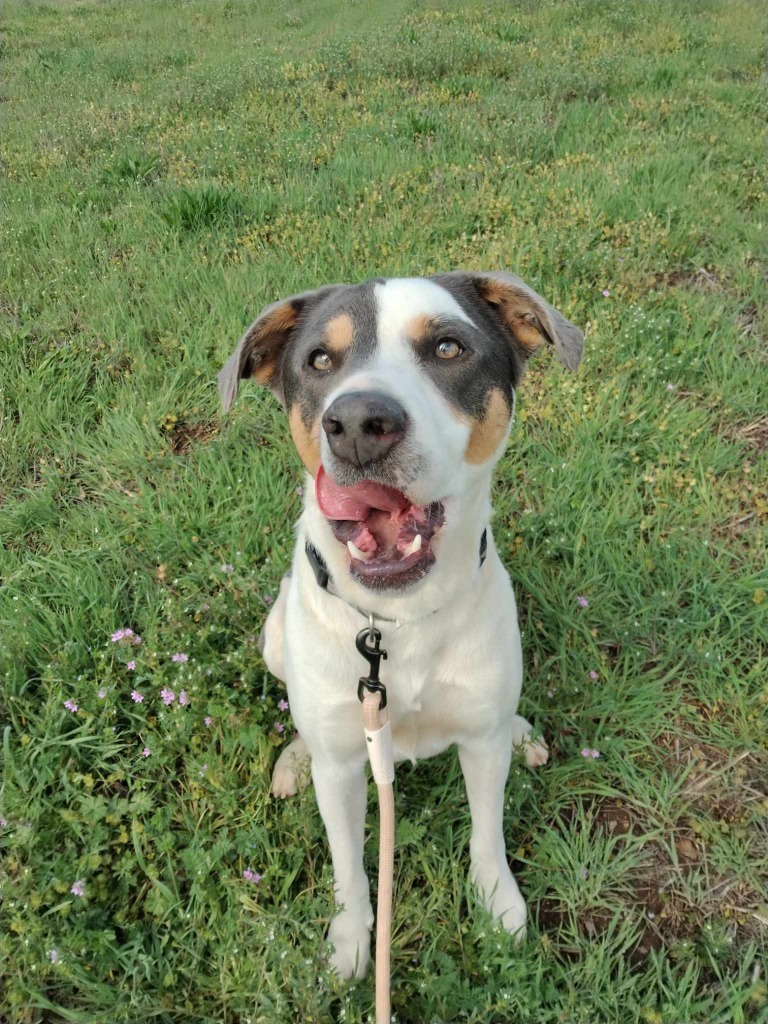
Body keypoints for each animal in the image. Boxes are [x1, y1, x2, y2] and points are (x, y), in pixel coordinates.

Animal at [219, 270, 585, 974]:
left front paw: (499, 906)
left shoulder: (479, 744)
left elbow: (487, 832)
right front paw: (350, 943)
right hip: (273, 637)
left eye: (447, 348)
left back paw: (522, 731)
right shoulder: (344, 768)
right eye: (320, 361)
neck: (398, 620)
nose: (359, 423)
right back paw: (294, 759)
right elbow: (349, 868)